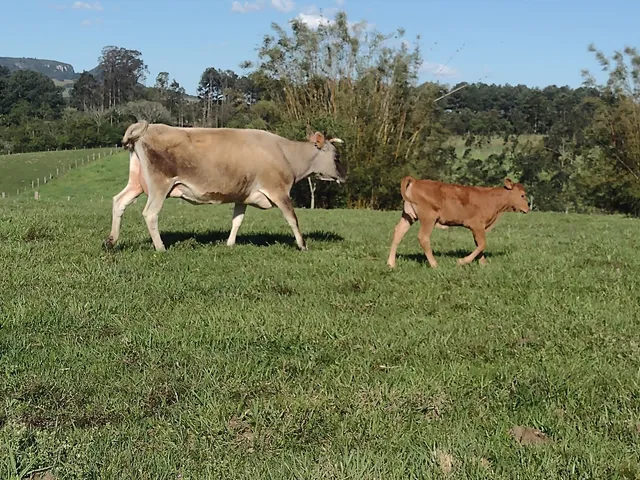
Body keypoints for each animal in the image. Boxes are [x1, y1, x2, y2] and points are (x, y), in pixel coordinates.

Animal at [104, 121, 346, 252]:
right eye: (336, 156)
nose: (344, 177)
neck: (285, 153)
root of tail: (148, 127)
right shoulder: (279, 191)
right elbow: (292, 219)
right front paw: (303, 245)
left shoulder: (242, 195)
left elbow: (237, 221)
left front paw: (230, 244)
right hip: (160, 186)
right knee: (150, 214)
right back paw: (161, 247)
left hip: (137, 183)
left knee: (119, 201)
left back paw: (111, 241)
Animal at [386, 176, 529, 268]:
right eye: (522, 195)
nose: (528, 208)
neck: (493, 199)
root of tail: (416, 181)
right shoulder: (477, 225)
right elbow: (482, 244)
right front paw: (462, 261)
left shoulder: (477, 228)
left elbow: (479, 244)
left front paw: (483, 263)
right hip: (428, 218)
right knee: (423, 238)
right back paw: (434, 264)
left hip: (408, 216)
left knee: (398, 233)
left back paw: (391, 263)